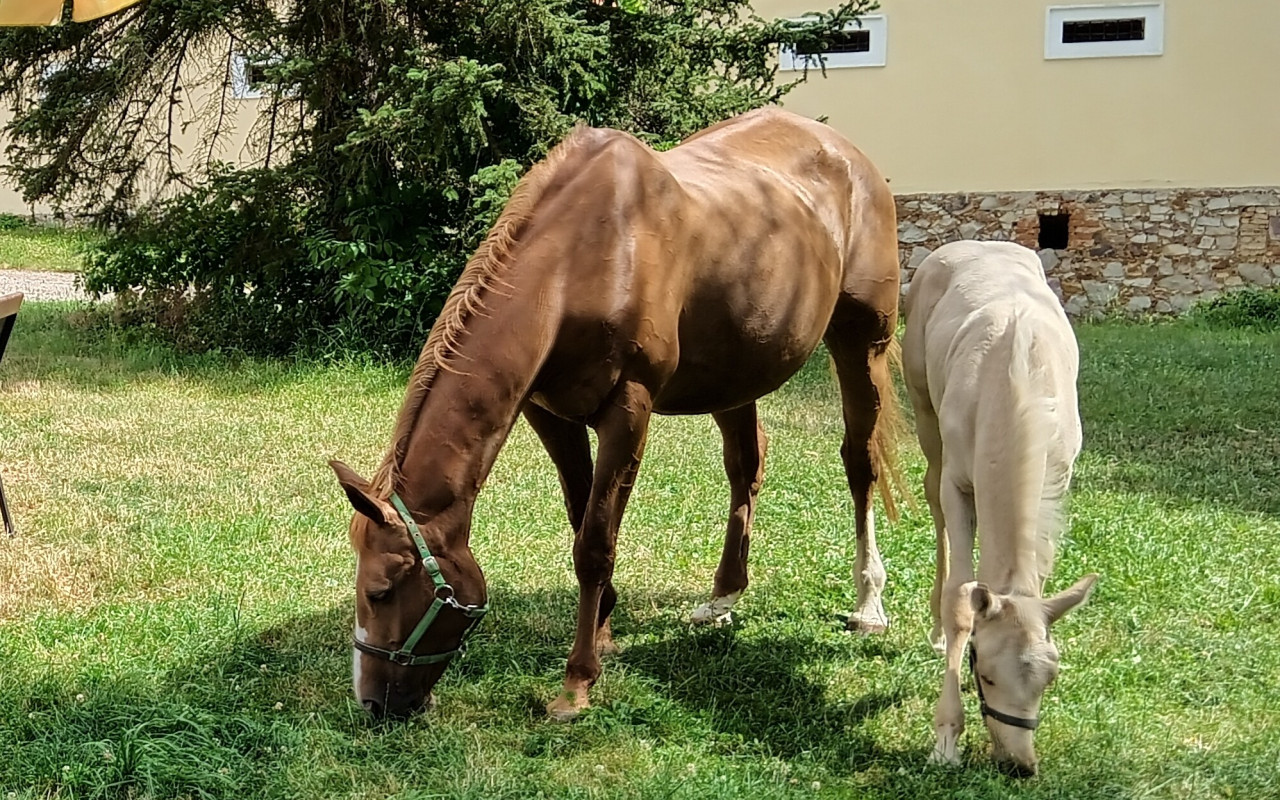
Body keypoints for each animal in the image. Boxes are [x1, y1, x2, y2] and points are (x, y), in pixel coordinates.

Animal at [335, 104, 906, 716]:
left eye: (380, 591)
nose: (371, 703)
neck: (581, 263)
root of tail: (848, 154)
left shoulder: (628, 411)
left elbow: (595, 542)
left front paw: (577, 681)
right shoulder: (549, 414)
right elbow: (580, 514)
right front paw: (605, 629)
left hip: (861, 345)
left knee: (859, 462)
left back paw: (869, 603)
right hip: (736, 371)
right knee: (747, 467)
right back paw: (723, 596)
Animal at [901, 241, 1100, 773]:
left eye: (1050, 678)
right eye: (985, 673)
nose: (1019, 764)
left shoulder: (1059, 477)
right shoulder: (957, 479)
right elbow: (960, 596)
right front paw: (946, 738)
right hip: (922, 403)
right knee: (931, 494)